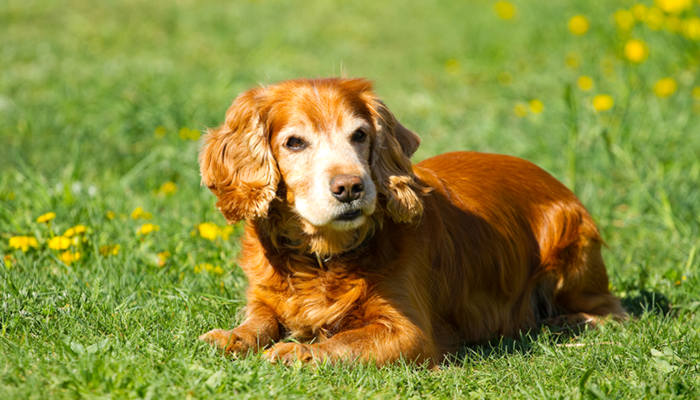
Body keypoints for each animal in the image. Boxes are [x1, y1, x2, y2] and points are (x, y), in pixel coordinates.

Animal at [198, 77, 628, 366]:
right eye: (294, 142)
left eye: (359, 135)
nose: (350, 187)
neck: (321, 258)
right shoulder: (263, 298)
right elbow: (258, 322)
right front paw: (230, 338)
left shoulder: (409, 332)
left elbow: (344, 342)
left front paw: (296, 351)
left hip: (571, 250)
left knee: (613, 310)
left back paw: (564, 322)